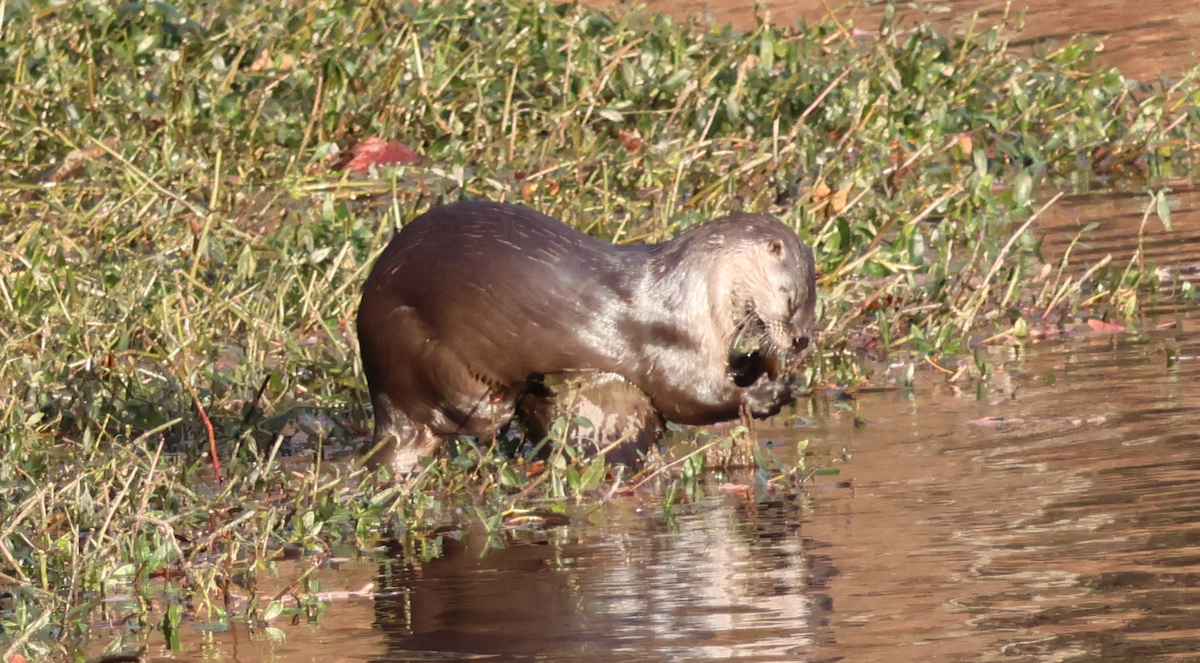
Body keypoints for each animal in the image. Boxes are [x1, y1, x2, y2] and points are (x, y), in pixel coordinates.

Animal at [356, 200, 817, 474]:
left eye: (813, 298)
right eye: (790, 296)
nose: (801, 341)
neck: (688, 297)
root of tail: (382, 403)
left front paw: (753, 365)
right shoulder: (669, 344)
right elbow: (690, 398)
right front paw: (769, 393)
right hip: (413, 343)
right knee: (463, 416)